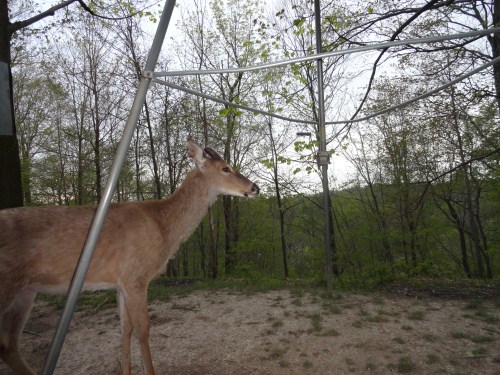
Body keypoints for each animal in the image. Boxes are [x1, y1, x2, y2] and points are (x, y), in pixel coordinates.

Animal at [0, 139, 258, 375]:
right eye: (226, 168)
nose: (255, 187)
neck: (163, 227)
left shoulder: (121, 282)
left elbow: (126, 328)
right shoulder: (136, 275)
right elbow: (143, 329)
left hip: (26, 291)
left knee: (9, 345)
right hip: (9, 282)